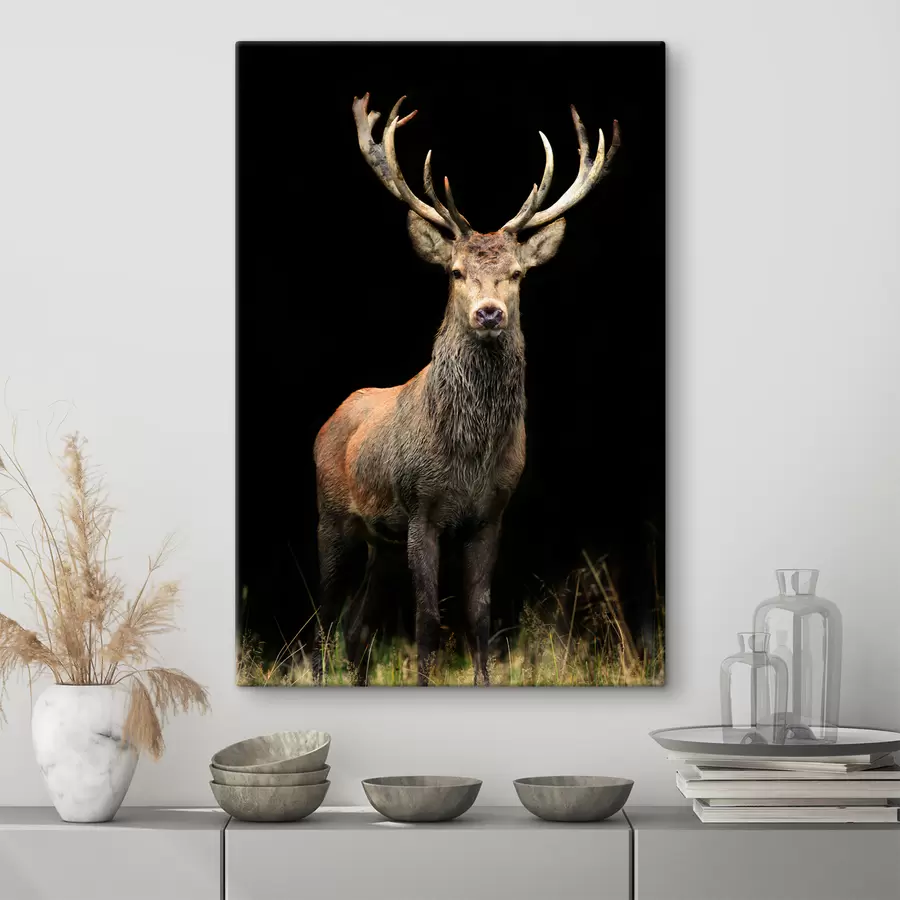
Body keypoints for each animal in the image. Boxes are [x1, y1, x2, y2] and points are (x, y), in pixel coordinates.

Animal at [312, 93, 619, 686]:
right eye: (455, 272)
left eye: (518, 274)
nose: (489, 312)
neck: (469, 455)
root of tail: (330, 420)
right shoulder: (421, 508)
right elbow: (428, 619)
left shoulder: (492, 513)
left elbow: (480, 617)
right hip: (334, 517)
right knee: (322, 617)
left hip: (383, 543)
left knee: (356, 628)